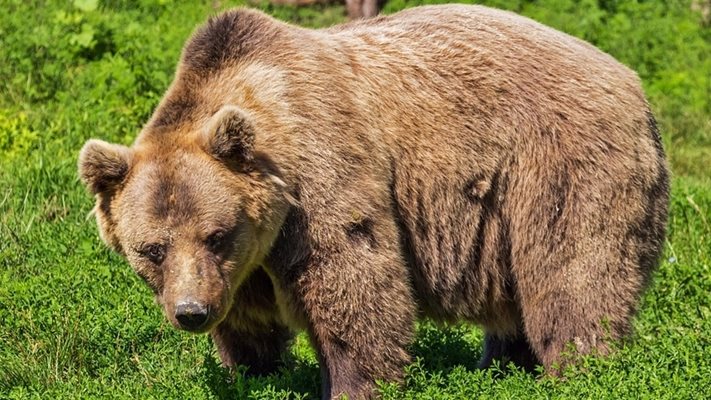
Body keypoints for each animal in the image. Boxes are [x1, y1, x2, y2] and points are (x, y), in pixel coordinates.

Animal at [76, 3, 668, 400]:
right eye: (152, 249)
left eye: (216, 235)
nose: (191, 312)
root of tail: (633, 83)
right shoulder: (245, 267)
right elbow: (248, 324)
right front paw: (252, 370)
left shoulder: (321, 177)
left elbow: (354, 282)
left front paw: (353, 382)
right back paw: (503, 366)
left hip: (558, 167)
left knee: (572, 277)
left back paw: (578, 369)